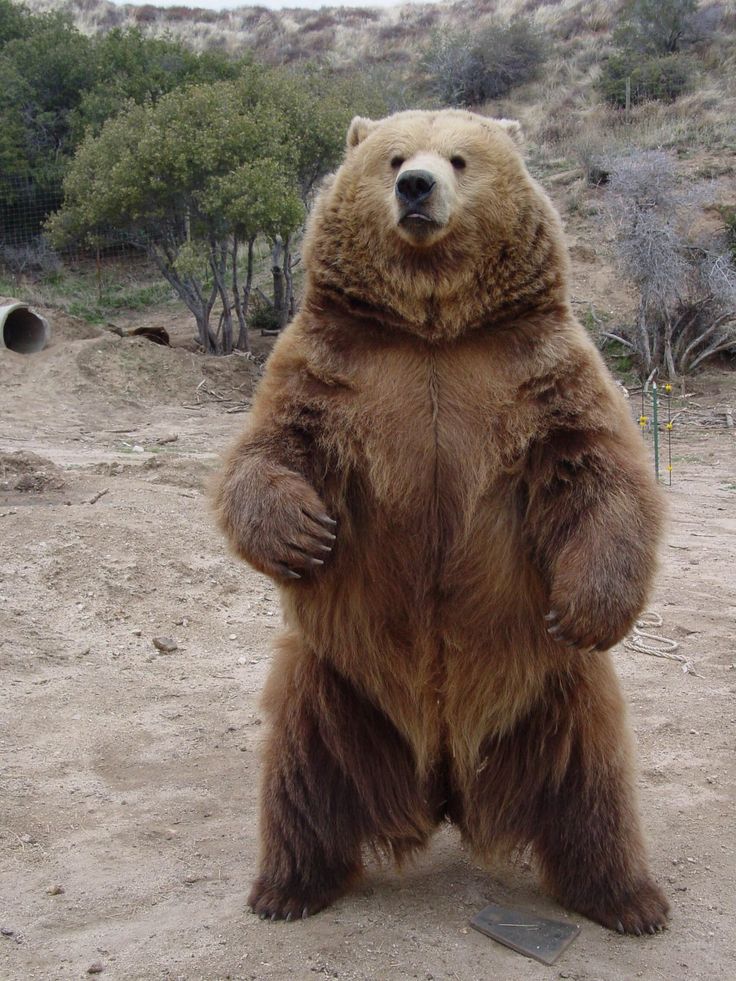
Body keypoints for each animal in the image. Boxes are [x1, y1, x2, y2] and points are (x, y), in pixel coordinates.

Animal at [216, 107, 668, 936]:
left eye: (459, 158)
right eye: (393, 158)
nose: (416, 187)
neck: (434, 326)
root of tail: (447, 785)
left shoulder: (538, 369)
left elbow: (600, 474)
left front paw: (590, 606)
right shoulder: (332, 366)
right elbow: (269, 448)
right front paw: (303, 531)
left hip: (556, 689)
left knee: (594, 786)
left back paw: (630, 900)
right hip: (334, 681)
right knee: (301, 775)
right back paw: (286, 887)